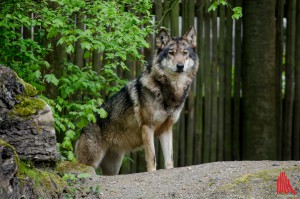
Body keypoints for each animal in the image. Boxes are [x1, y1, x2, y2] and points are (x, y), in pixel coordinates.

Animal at [74, 26, 199, 174]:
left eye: (185, 53)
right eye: (171, 53)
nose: (180, 66)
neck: (169, 91)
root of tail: (81, 131)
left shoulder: (166, 130)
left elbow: (169, 161)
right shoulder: (147, 128)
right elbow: (152, 158)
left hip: (113, 168)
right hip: (90, 164)